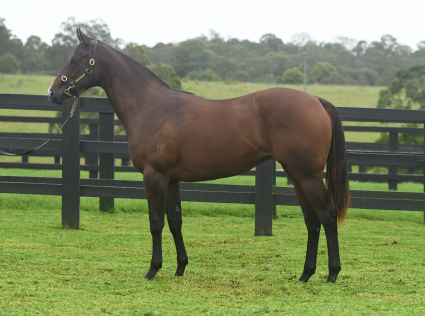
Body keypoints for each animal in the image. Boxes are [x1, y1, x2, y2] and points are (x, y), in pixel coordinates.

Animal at [48, 28, 350, 282]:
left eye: (75, 59)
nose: (53, 93)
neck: (151, 106)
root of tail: (316, 101)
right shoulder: (171, 180)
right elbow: (175, 221)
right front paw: (180, 267)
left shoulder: (154, 176)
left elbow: (156, 222)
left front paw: (152, 270)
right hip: (297, 176)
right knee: (312, 221)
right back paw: (305, 274)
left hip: (308, 176)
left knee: (327, 215)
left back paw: (332, 273)